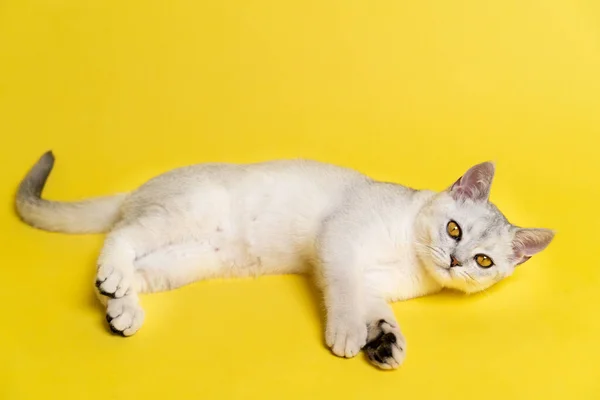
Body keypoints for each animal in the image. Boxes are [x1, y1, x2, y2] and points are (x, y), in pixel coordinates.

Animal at [15, 152, 552, 370]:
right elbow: (343, 295)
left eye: (483, 261)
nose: (456, 261)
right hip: (182, 215)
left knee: (137, 270)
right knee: (120, 236)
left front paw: (386, 343)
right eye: (454, 229)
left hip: (189, 258)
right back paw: (111, 279)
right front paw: (348, 335)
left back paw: (122, 307)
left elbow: (377, 309)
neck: (409, 258)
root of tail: (140, 188)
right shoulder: (340, 243)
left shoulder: (375, 284)